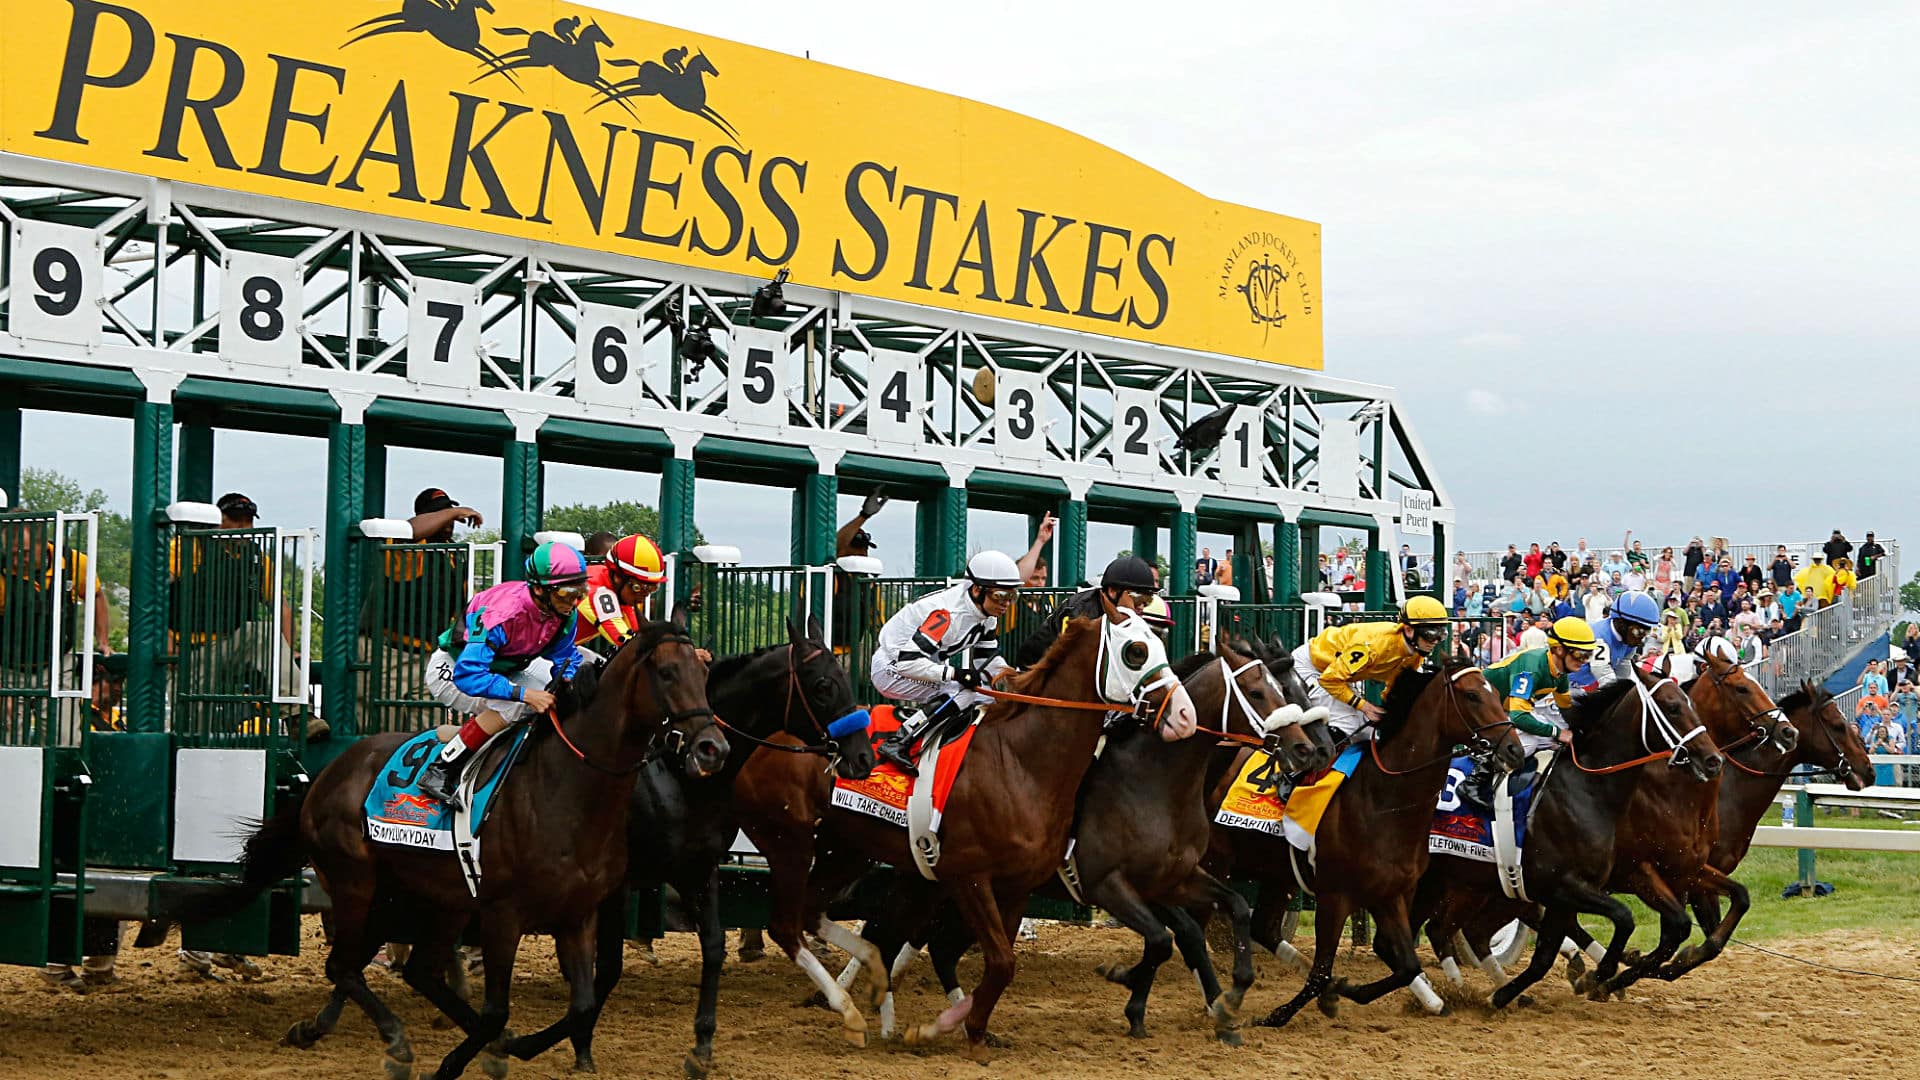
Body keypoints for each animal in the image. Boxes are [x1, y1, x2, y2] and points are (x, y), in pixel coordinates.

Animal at [185, 614, 721, 1076]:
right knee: (345, 965)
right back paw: (396, 1042)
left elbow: (582, 1004)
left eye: (704, 669)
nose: (713, 747)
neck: (566, 787)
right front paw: (457, 1062)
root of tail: (328, 774)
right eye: (667, 672)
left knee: (412, 970)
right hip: (358, 882)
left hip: (432, 898)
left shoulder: (579, 912)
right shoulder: (504, 914)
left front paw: (516, 1047)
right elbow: (498, 1010)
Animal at [503, 614, 879, 1076]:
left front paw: (702, 1044)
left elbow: (713, 947)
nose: (863, 757)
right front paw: (556, 1041)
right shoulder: (614, 884)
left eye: (846, 678)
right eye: (824, 685)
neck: (677, 773)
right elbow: (607, 968)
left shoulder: (698, 868)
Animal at [725, 611, 1190, 1053]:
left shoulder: (1016, 885)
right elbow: (999, 962)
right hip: (790, 842)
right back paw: (854, 1009)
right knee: (787, 924)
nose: (1184, 715)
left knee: (821, 915)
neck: (1021, 761)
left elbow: (997, 964)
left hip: (846, 849)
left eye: (1158, 642)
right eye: (1135, 652)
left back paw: (877, 985)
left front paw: (972, 1029)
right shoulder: (969, 876)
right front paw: (948, 1029)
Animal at [1236, 657, 1520, 1022]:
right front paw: (1279, 1015)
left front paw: (1351, 991)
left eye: (1497, 694)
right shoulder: (1335, 895)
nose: (1514, 749)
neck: (1383, 799)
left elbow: (1406, 963)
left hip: (1277, 875)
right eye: (1472, 695)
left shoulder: (1392, 893)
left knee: (1262, 929)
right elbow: (1321, 973)